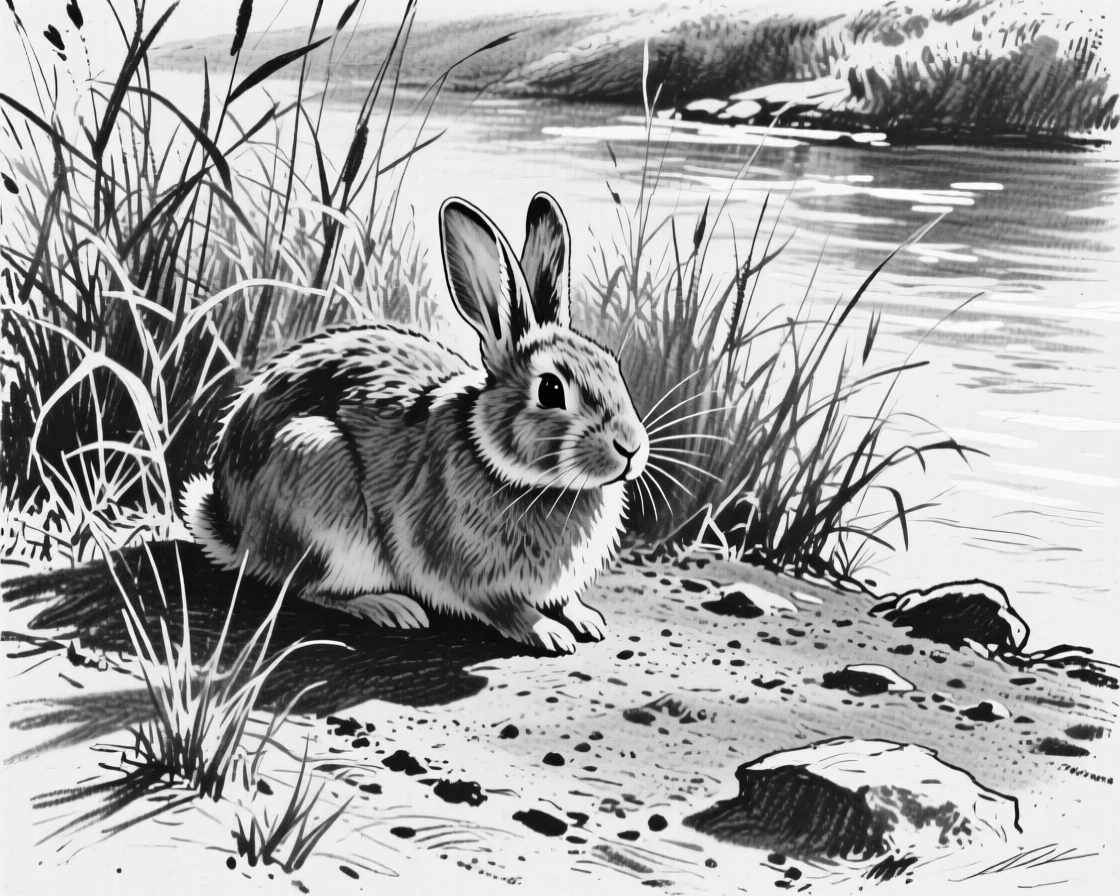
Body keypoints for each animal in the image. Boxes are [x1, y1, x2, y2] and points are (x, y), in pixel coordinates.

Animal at [182, 193, 649, 654]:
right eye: (551, 390)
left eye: (614, 366)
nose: (630, 446)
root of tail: (233, 526)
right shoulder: (465, 570)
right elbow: (502, 606)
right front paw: (546, 631)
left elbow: (564, 600)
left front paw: (585, 618)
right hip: (320, 490)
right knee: (305, 587)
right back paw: (390, 607)